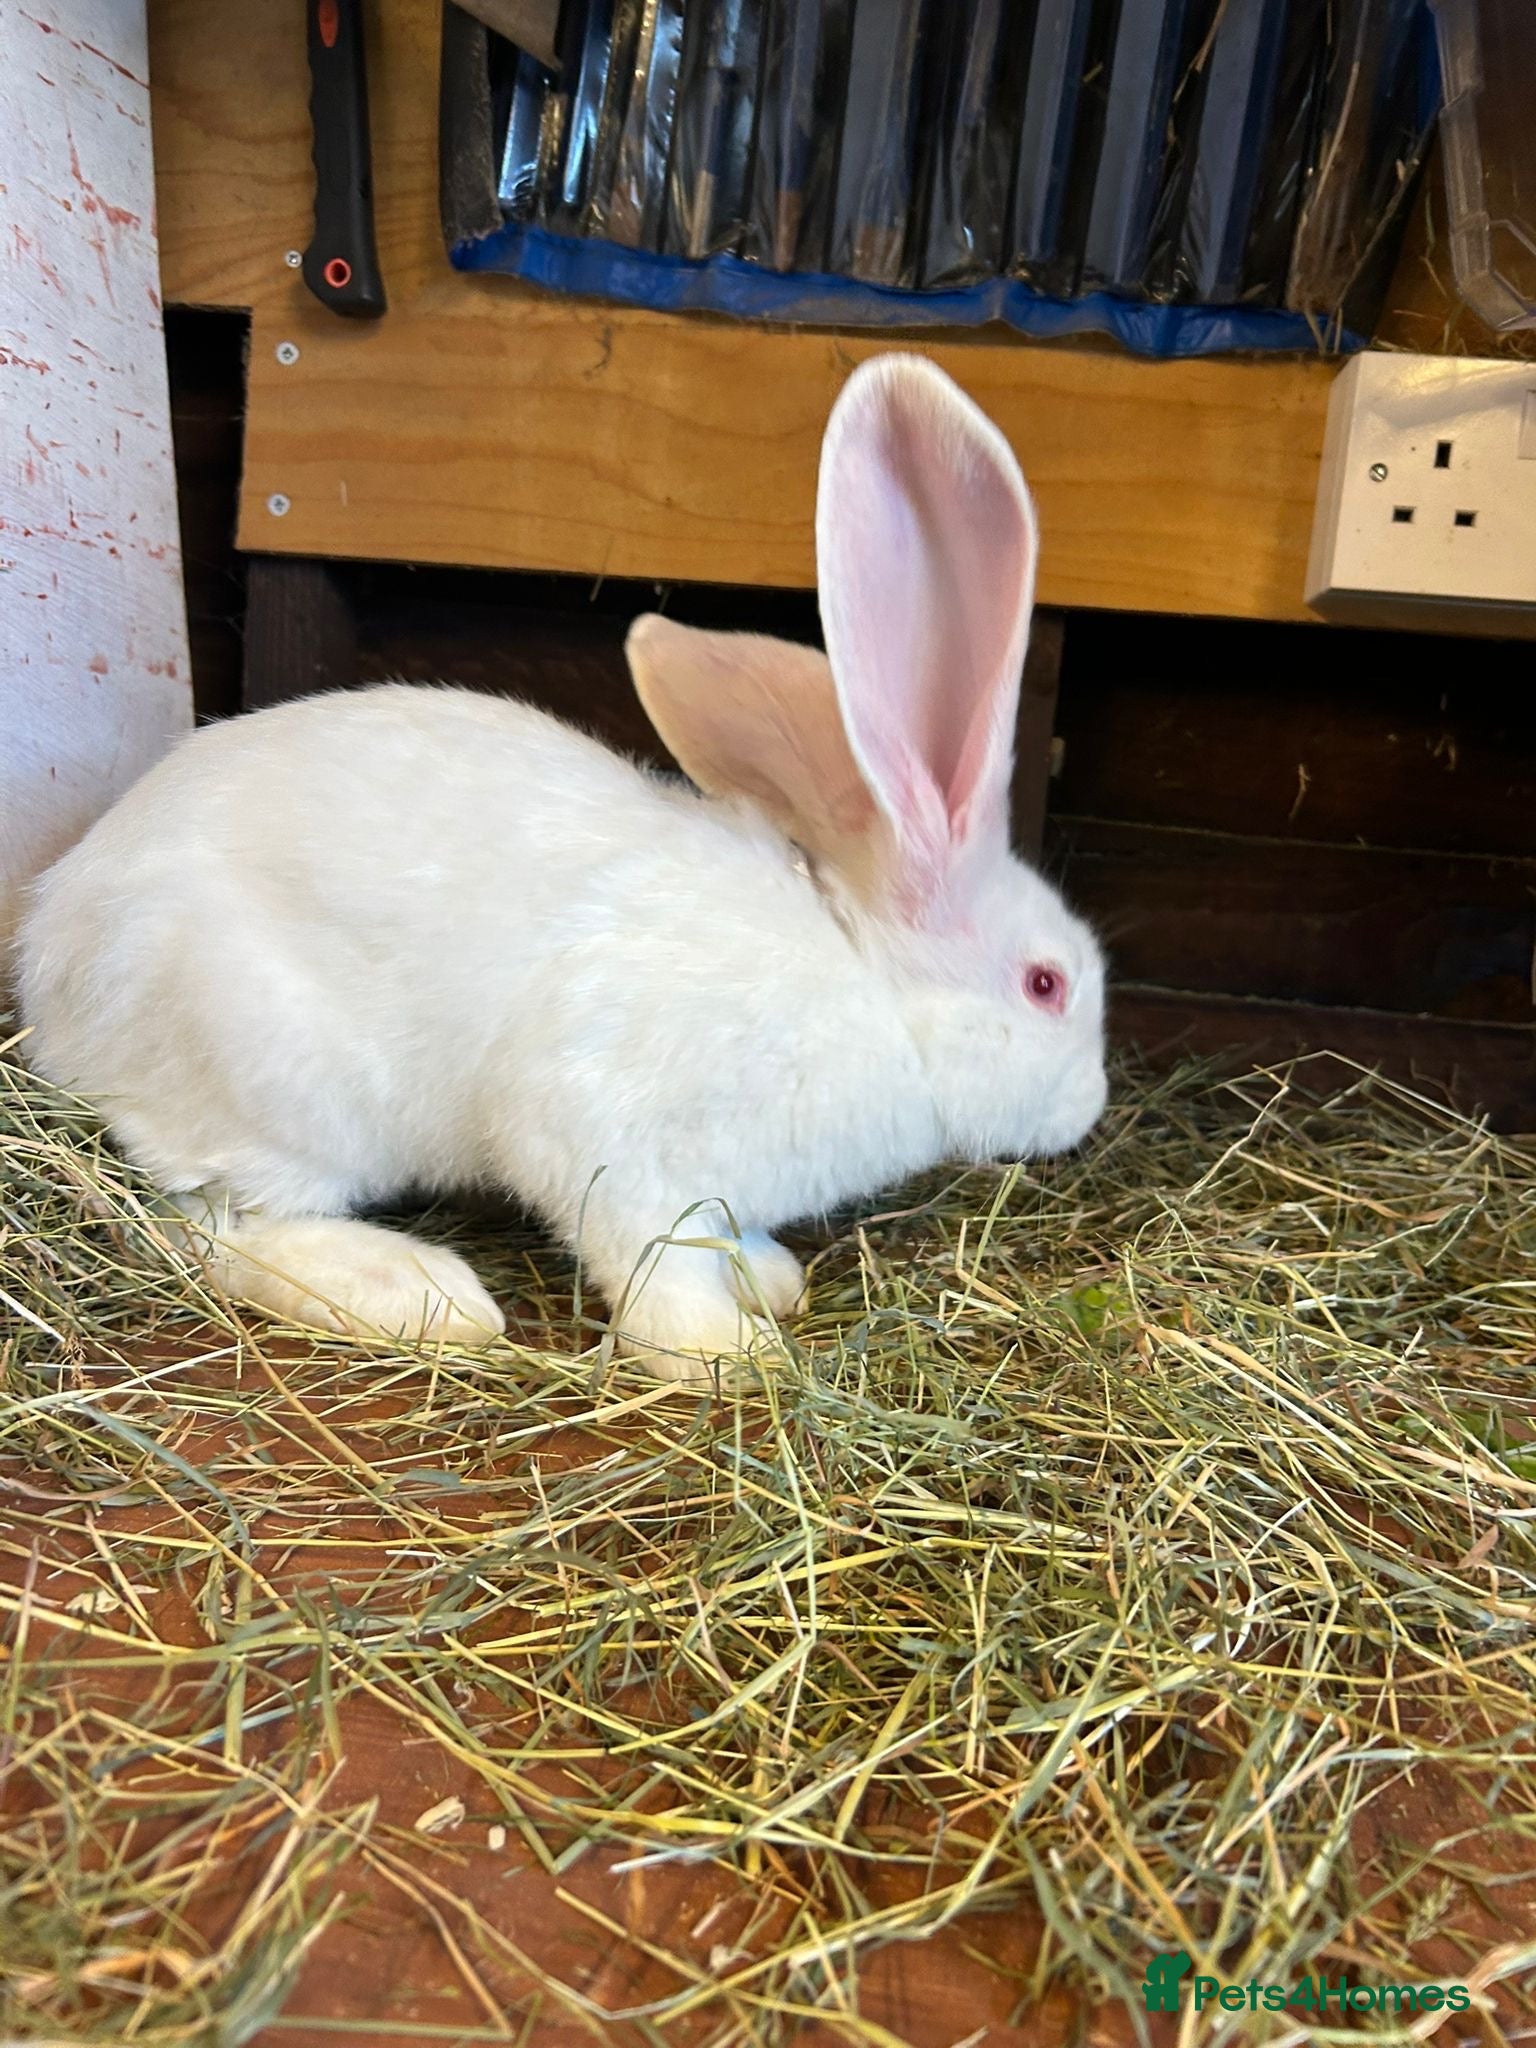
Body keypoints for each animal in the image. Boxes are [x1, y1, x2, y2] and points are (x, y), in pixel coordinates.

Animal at [17, 353, 1108, 1382]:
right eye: (1046, 984)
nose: (1092, 1105)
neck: (869, 985)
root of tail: (49, 968)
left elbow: (721, 1233)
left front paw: (769, 1277)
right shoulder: (604, 1135)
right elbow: (652, 1259)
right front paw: (726, 1352)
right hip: (275, 1088)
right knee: (214, 1226)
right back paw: (419, 1293)